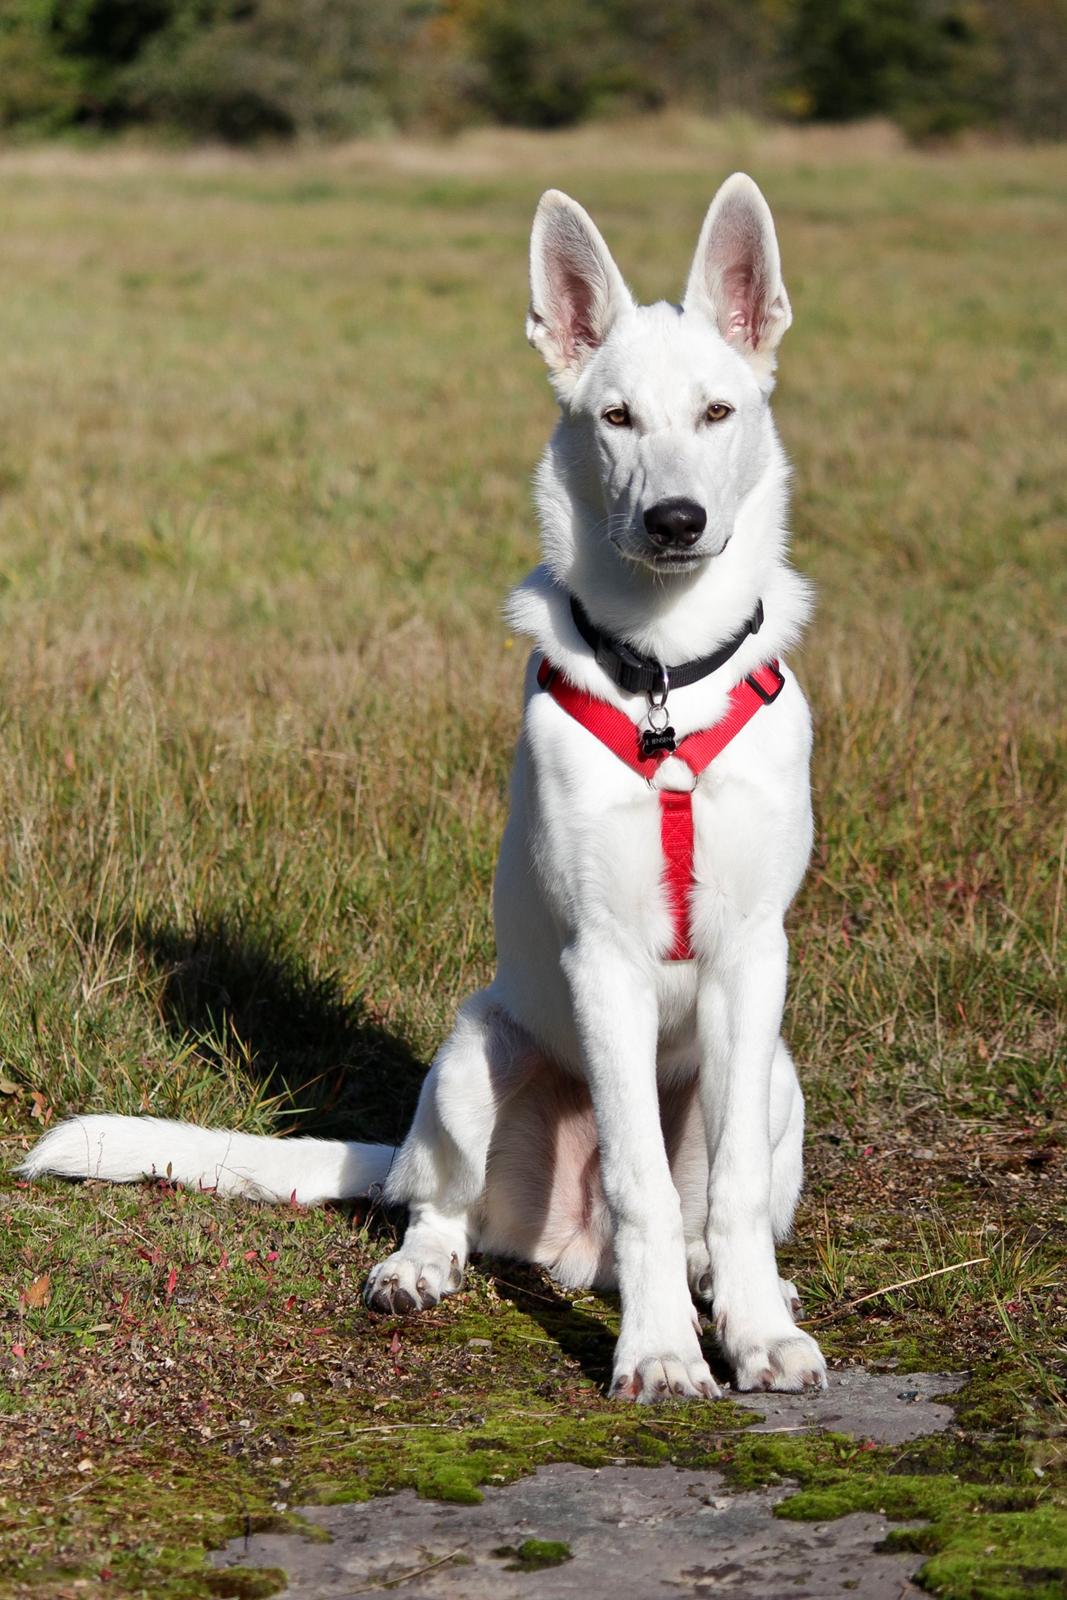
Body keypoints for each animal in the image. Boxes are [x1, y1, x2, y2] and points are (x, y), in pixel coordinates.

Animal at [22, 172, 825, 1401]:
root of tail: (573, 1254)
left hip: (777, 1076)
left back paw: (720, 1285)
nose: (675, 521)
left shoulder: (751, 956)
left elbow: (724, 1190)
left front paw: (755, 1333)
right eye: (615, 418)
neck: (664, 689)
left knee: (707, 1208)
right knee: (441, 1205)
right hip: (475, 1053)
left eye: (717, 413)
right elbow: (640, 1179)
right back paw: (421, 1271)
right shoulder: (600, 958)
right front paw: (656, 1353)